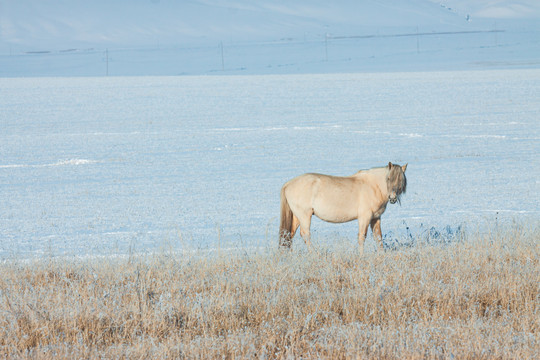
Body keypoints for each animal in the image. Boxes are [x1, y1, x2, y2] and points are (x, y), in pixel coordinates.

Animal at [280, 162, 408, 255]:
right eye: (389, 178)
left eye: (401, 180)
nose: (392, 198)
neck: (373, 186)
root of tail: (288, 184)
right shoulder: (364, 217)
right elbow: (362, 237)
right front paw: (361, 255)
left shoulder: (375, 218)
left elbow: (378, 237)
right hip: (304, 215)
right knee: (305, 234)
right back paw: (313, 254)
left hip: (297, 217)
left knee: (289, 235)